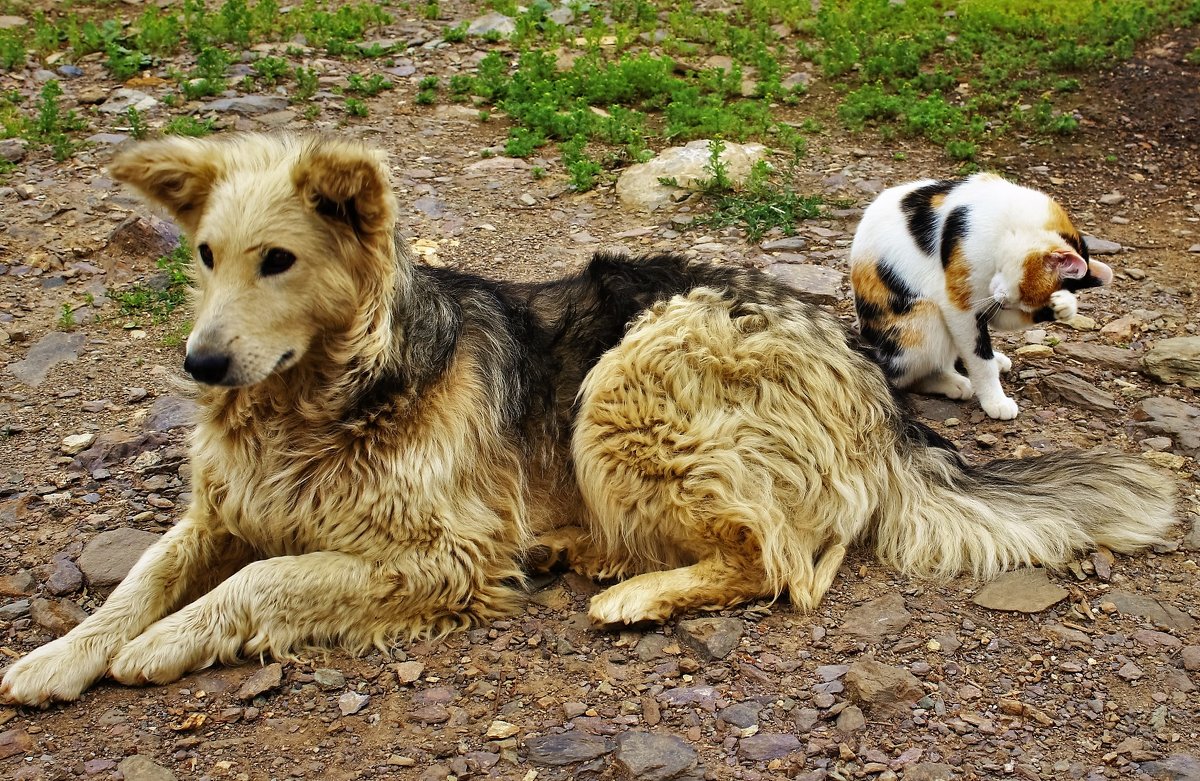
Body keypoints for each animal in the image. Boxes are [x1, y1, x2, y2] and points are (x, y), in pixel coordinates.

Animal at [849, 173, 1108, 422]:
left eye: (1024, 305)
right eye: (1022, 292)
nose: (1004, 302)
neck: (1008, 223)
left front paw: (1065, 305)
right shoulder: (960, 303)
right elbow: (980, 358)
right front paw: (996, 401)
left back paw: (995, 360)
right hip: (922, 320)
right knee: (901, 376)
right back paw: (953, 382)